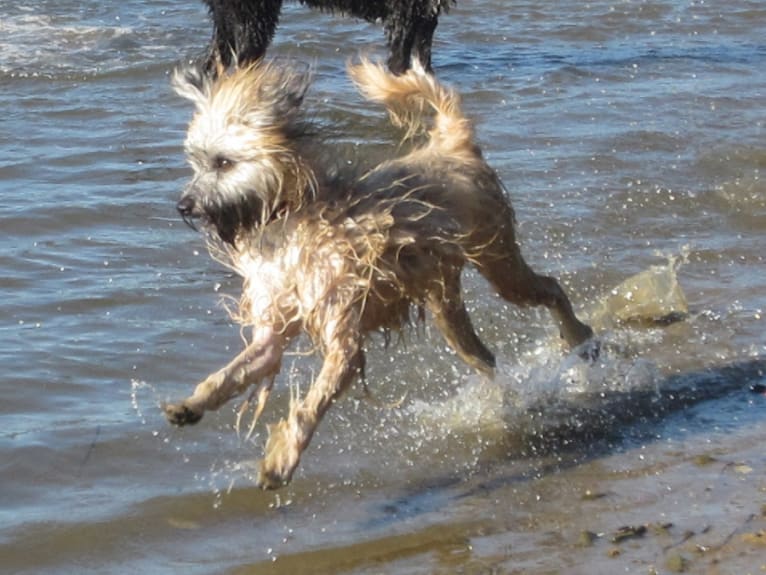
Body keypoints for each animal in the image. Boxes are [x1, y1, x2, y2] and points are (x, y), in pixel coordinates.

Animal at [165, 58, 596, 488]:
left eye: (223, 163)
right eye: (196, 162)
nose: (184, 205)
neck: (291, 221)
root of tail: (451, 144)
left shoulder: (344, 340)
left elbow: (310, 407)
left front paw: (282, 460)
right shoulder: (273, 329)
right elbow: (233, 372)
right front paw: (192, 403)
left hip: (500, 263)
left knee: (551, 288)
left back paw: (580, 339)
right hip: (447, 305)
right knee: (485, 357)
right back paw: (505, 402)